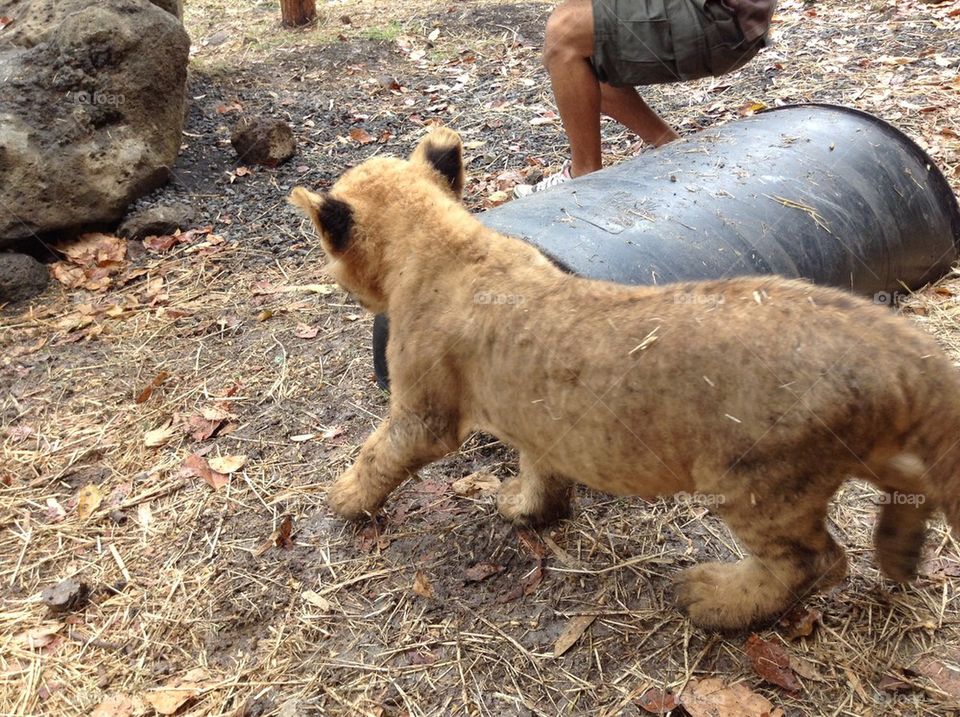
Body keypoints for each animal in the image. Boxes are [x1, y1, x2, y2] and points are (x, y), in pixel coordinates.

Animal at [290, 128, 960, 631]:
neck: (444, 243)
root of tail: (890, 341)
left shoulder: (424, 416)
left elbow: (378, 453)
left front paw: (344, 499)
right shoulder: (539, 415)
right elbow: (540, 469)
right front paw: (527, 509)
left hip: (759, 483)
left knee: (814, 563)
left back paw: (713, 600)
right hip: (856, 451)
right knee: (912, 484)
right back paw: (900, 556)